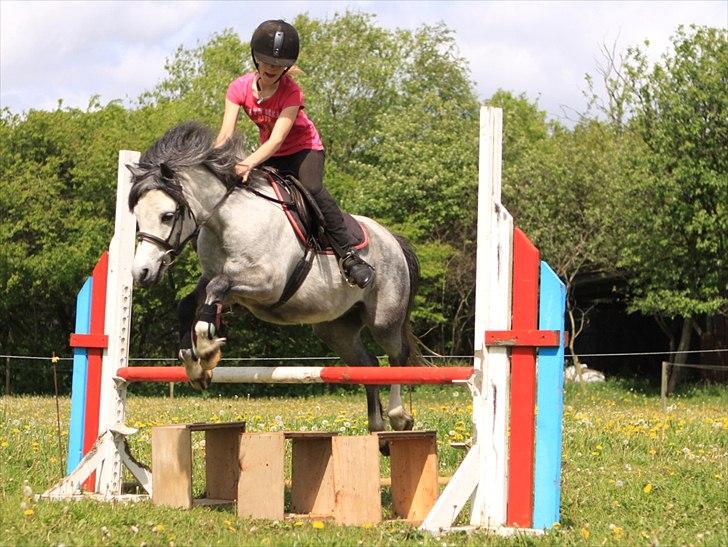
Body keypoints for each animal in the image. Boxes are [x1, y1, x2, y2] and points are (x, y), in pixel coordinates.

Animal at [128, 124, 418, 436]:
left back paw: (399, 416)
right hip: (336, 329)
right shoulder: (221, 281)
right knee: (369, 365)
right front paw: (196, 366)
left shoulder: (267, 285)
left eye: (167, 215)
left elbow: (217, 289)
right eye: (136, 216)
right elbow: (191, 303)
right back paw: (377, 427)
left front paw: (207, 349)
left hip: (384, 319)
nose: (141, 272)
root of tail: (393, 239)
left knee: (396, 357)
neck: (227, 220)